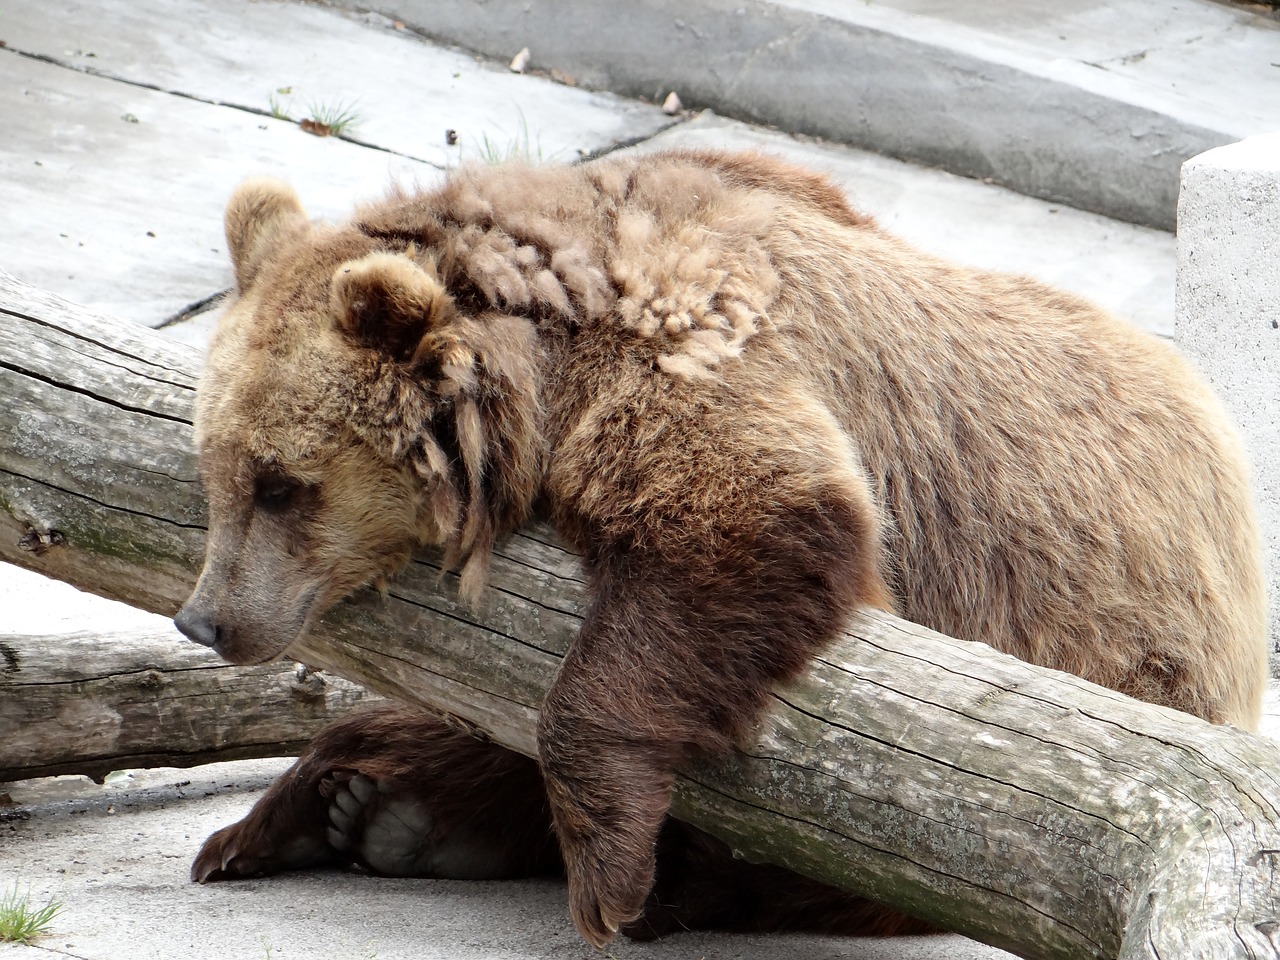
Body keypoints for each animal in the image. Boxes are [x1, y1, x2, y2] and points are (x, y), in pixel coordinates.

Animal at [172, 148, 1269, 947]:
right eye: (213, 466)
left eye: (280, 484)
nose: (205, 618)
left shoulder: (693, 349)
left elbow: (747, 524)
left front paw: (612, 876)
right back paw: (336, 812)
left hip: (1112, 659)